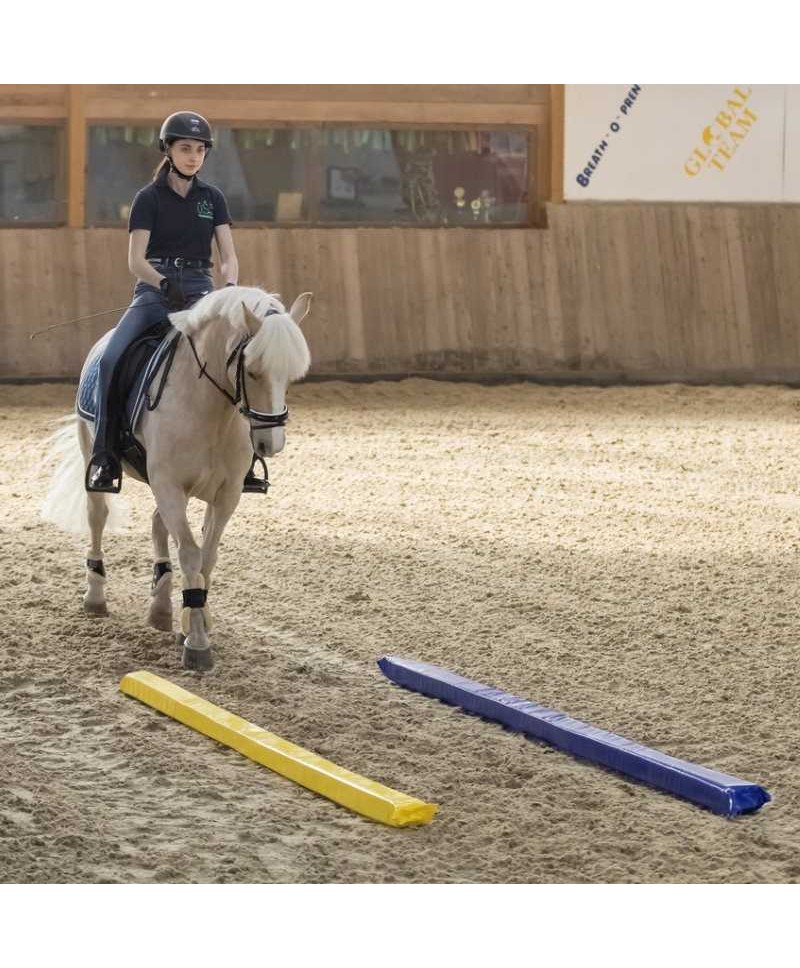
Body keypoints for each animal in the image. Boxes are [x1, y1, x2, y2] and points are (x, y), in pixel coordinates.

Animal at [41, 284, 312, 668]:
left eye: (291, 376)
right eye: (253, 371)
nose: (270, 444)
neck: (212, 410)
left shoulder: (226, 493)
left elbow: (207, 557)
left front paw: (194, 620)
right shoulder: (168, 484)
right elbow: (190, 554)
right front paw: (196, 642)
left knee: (158, 524)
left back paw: (160, 605)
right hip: (94, 454)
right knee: (97, 517)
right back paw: (95, 596)